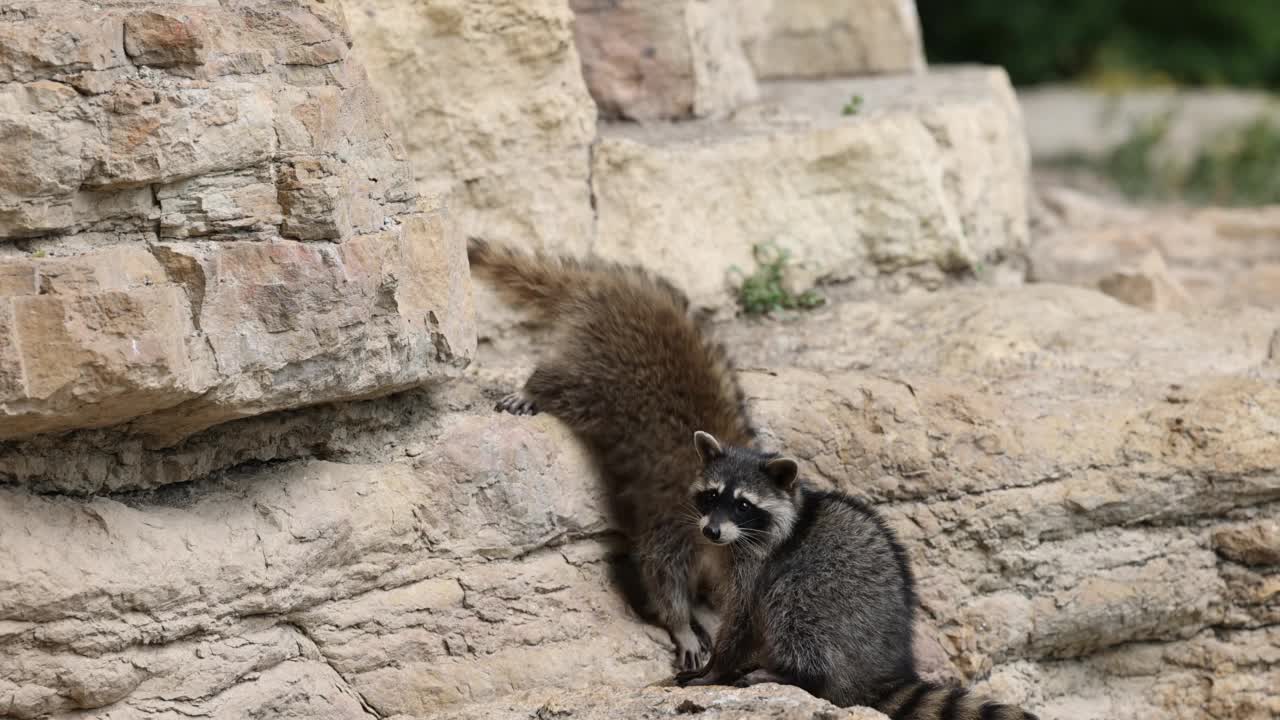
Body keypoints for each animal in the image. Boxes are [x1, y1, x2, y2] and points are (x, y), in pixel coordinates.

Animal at [468, 239, 747, 666]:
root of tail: (612, 286)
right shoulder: (673, 513)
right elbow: (659, 568)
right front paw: (681, 623)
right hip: (605, 366)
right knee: (569, 385)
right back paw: (534, 387)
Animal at [675, 430, 1034, 717]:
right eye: (712, 496)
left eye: (743, 505)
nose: (711, 531)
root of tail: (879, 672)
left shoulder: (759, 565)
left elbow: (742, 619)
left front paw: (714, 669)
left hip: (830, 608)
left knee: (794, 607)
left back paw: (793, 674)